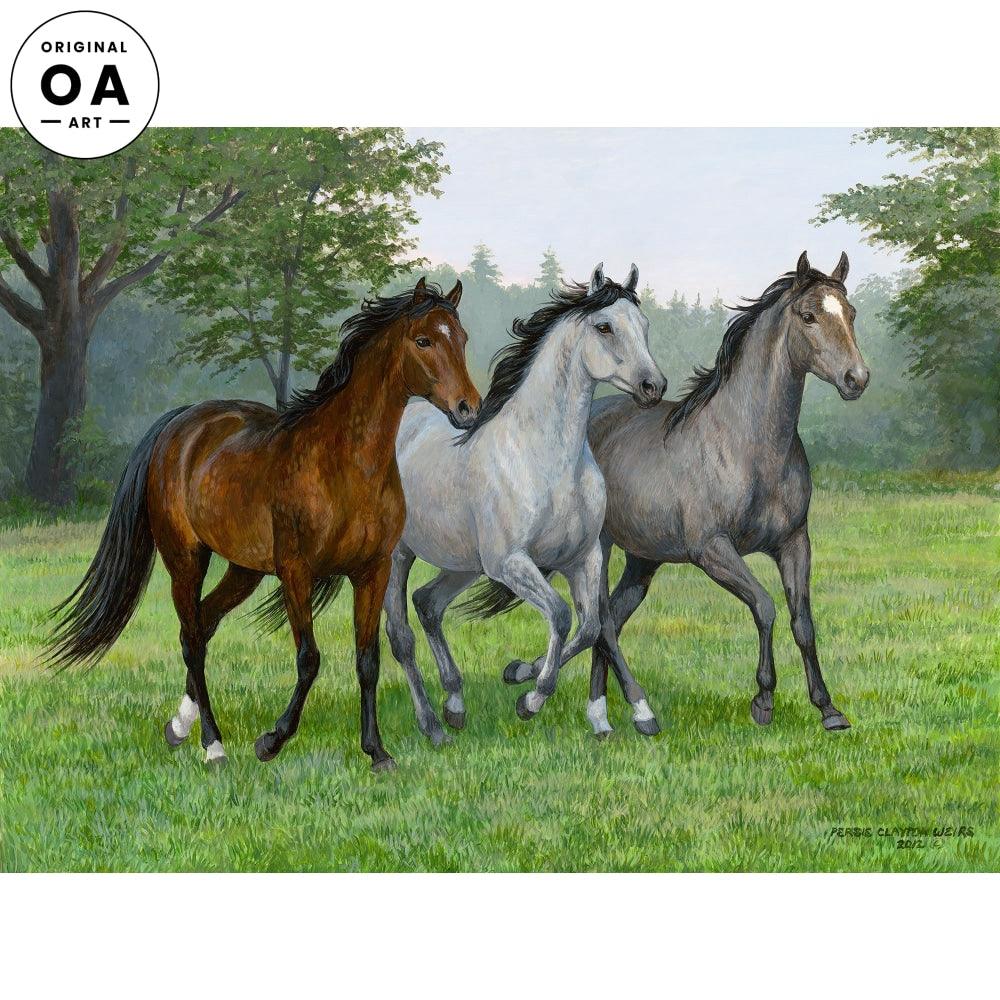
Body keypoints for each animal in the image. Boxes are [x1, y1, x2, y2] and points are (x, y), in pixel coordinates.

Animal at [46, 278, 481, 771]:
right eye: (423, 341)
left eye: (462, 339)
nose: (469, 409)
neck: (342, 465)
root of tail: (179, 425)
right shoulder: (296, 573)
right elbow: (309, 659)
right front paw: (271, 740)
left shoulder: (373, 571)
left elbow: (367, 660)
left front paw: (377, 752)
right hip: (186, 560)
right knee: (191, 638)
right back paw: (212, 745)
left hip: (244, 570)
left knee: (204, 624)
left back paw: (178, 727)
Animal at [383, 264, 666, 744]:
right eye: (604, 326)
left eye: (645, 326)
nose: (653, 386)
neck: (545, 460)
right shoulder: (511, 562)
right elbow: (561, 615)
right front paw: (530, 699)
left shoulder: (582, 557)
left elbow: (591, 627)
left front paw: (519, 674)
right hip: (399, 556)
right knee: (400, 629)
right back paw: (432, 723)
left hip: (464, 563)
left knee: (428, 603)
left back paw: (455, 704)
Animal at [567, 252, 869, 736]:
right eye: (808, 316)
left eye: (851, 313)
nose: (856, 378)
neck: (749, 446)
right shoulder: (712, 550)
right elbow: (765, 607)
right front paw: (763, 700)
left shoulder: (794, 543)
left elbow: (802, 621)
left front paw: (828, 709)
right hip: (598, 547)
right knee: (602, 622)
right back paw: (624, 714)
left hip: (642, 561)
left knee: (611, 617)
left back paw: (602, 713)